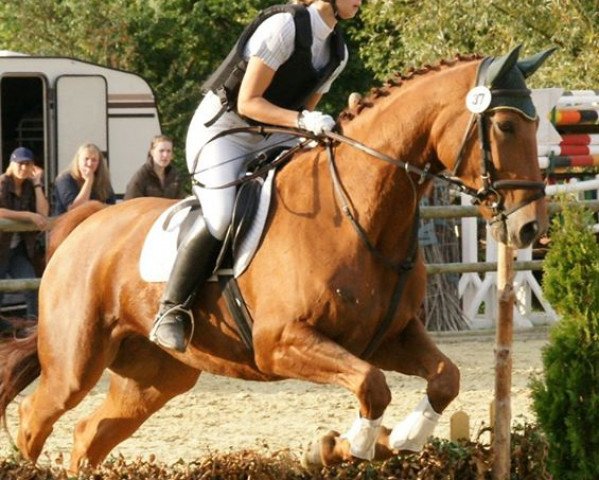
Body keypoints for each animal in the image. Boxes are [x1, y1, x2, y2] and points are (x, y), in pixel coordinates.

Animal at [0, 46, 552, 472]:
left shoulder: (388, 337)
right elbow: (373, 387)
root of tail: (84, 226)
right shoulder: (282, 342)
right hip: (76, 364)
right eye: (505, 126)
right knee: (34, 419)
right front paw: (343, 446)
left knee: (89, 434)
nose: (530, 227)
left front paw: (403, 437)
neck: (358, 212)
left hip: (154, 376)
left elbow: (444, 378)